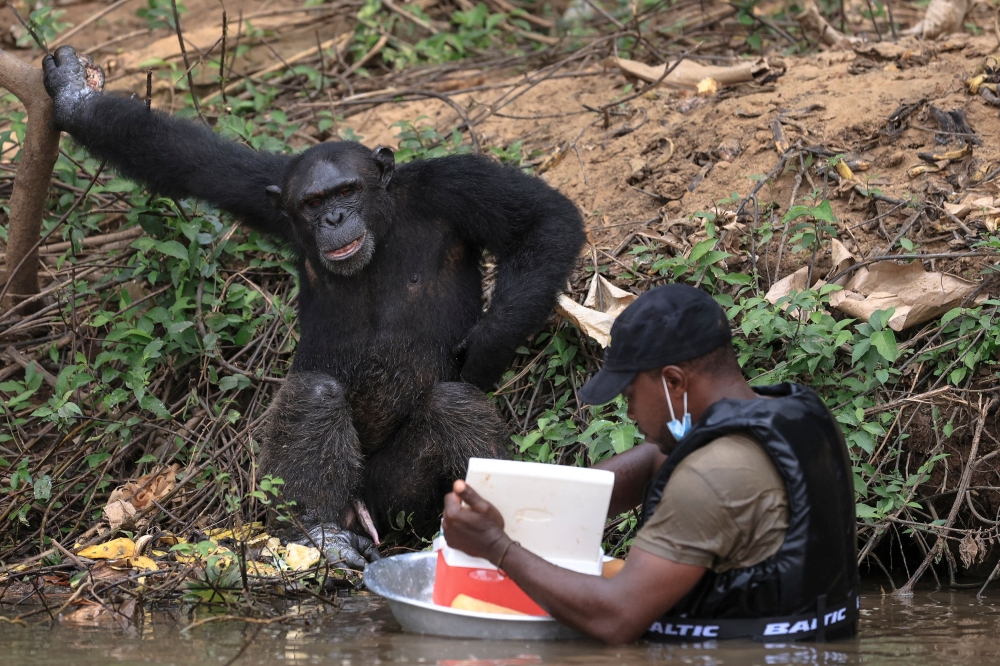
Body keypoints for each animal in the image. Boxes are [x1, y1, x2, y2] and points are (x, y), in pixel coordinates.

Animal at [45, 46, 584, 564]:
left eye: (346, 190)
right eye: (312, 203)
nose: (334, 219)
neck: (385, 221)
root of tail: (362, 511)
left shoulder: (455, 183)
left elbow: (542, 220)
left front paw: (487, 346)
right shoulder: (264, 191)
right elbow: (181, 156)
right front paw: (74, 95)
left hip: (399, 501)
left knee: (453, 406)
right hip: (343, 497)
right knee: (315, 395)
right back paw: (321, 534)